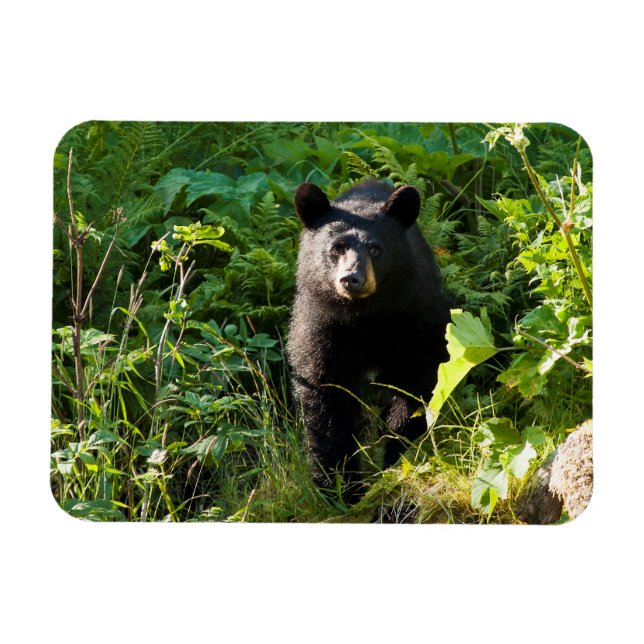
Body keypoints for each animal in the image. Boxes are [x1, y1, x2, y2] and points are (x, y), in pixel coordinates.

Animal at [287, 180, 451, 497]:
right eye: (336, 248)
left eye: (376, 249)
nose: (352, 278)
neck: (365, 315)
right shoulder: (321, 326)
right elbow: (325, 394)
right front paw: (339, 485)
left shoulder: (415, 317)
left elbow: (418, 380)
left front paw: (396, 455)